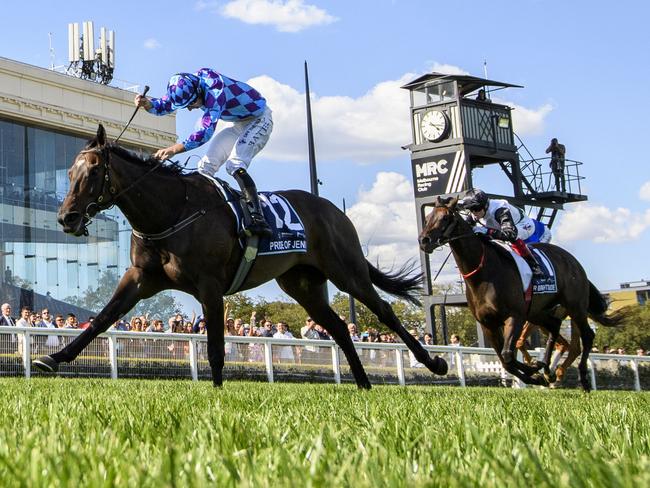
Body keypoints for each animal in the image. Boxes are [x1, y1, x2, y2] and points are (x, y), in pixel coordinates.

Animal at [31, 124, 446, 386]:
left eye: (93, 172)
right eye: (69, 172)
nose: (66, 218)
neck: (172, 211)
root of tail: (333, 209)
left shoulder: (210, 284)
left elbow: (216, 346)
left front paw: (217, 393)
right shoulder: (141, 277)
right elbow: (102, 319)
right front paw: (53, 358)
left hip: (347, 270)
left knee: (384, 310)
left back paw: (434, 362)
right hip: (302, 284)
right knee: (341, 327)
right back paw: (362, 384)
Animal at [418, 196, 624, 390]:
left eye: (445, 217)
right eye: (427, 218)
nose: (423, 241)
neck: (483, 273)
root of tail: (573, 262)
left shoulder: (515, 316)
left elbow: (508, 354)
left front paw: (533, 369)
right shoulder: (488, 324)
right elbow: (504, 360)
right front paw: (535, 373)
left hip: (575, 307)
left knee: (586, 336)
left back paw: (582, 379)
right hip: (538, 313)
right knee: (555, 328)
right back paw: (548, 370)